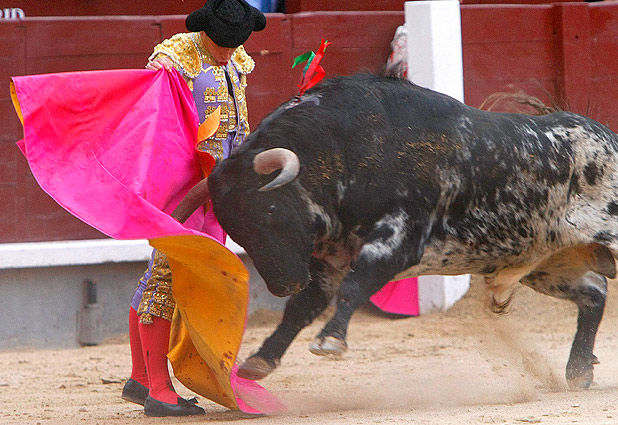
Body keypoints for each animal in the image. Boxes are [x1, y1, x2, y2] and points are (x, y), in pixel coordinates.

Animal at [174, 73, 618, 391]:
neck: (348, 148)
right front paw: (260, 360)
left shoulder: (398, 240)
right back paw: (579, 371)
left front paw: (330, 342)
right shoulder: (329, 259)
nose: (284, 284)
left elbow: (354, 287)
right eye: (236, 230)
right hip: (546, 265)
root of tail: (607, 136)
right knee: (594, 292)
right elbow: (304, 307)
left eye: (268, 210)